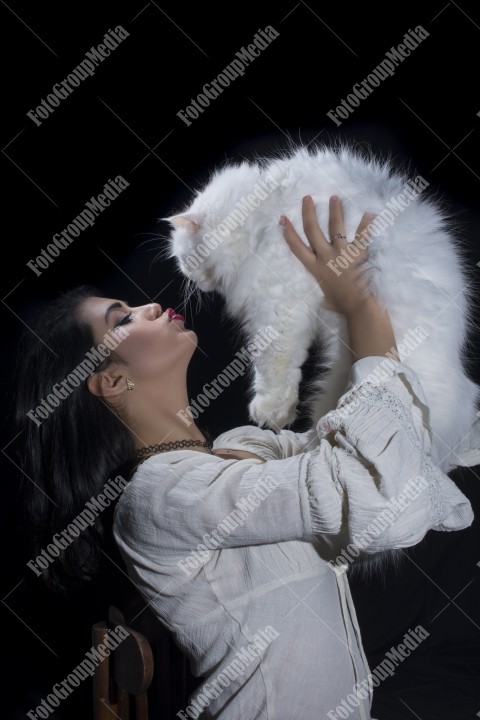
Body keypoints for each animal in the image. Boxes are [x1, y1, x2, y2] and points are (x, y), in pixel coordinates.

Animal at [165, 143, 480, 476]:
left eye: (184, 259)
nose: (190, 278)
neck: (260, 214)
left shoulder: (277, 309)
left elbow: (273, 368)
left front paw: (270, 414)